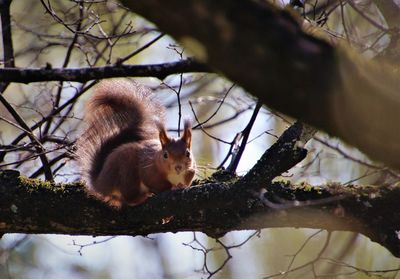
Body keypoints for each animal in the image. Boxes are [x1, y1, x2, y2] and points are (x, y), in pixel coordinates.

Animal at [76, 79, 195, 208]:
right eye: (165, 155)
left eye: (188, 153)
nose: (178, 167)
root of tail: (100, 183)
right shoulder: (149, 172)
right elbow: (159, 185)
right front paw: (172, 187)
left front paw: (181, 186)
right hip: (128, 173)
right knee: (129, 198)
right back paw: (142, 197)